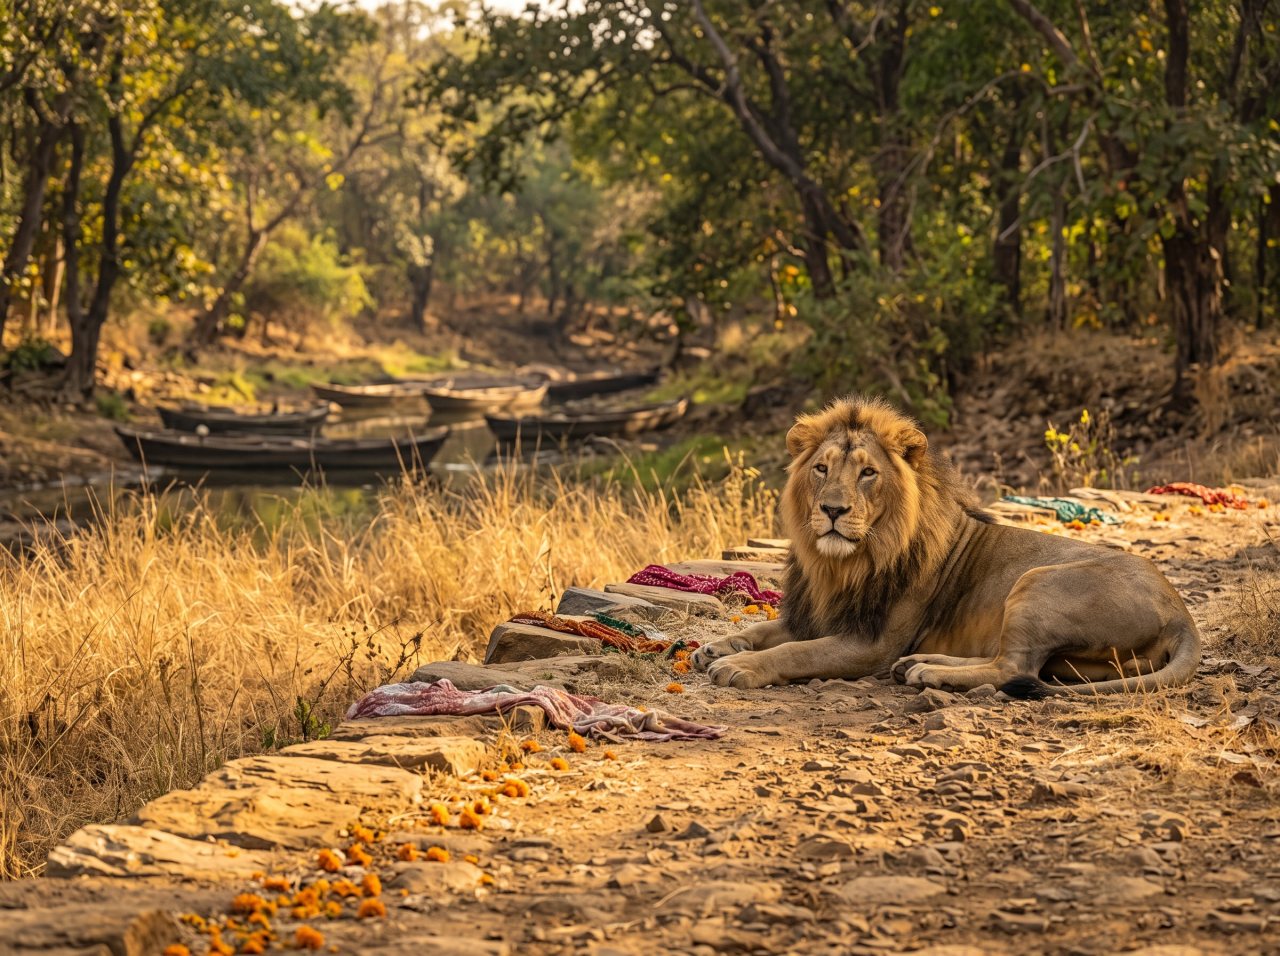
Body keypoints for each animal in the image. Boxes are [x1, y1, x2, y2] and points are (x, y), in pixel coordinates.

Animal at [693, 395, 1201, 696]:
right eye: (821, 468)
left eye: (868, 473)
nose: (832, 510)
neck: (839, 566)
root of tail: (1180, 612)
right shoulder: (817, 615)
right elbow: (766, 629)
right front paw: (717, 646)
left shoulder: (871, 643)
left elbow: (794, 652)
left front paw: (739, 666)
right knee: (1022, 665)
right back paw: (921, 661)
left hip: (1037, 584)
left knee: (1014, 669)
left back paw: (928, 671)